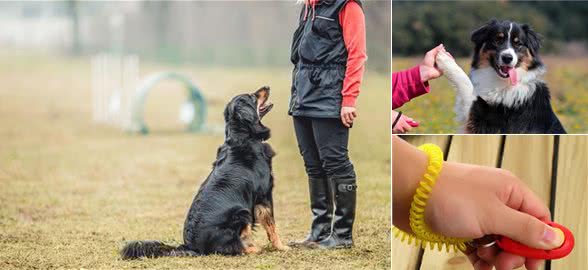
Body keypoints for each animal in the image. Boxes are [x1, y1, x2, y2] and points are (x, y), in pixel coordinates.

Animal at [120, 86, 290, 260]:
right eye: (252, 96)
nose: (267, 87)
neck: (243, 137)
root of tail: (190, 246)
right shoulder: (264, 195)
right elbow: (272, 226)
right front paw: (281, 247)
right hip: (242, 213)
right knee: (233, 246)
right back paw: (253, 249)